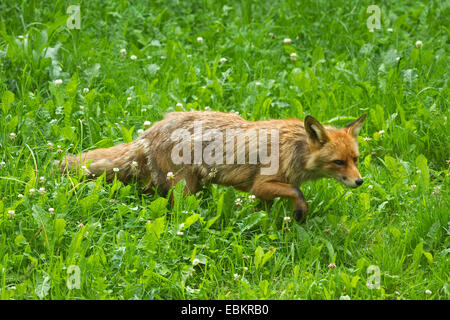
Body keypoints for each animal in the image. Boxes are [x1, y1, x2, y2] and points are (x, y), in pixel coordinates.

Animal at [61, 110, 366, 220]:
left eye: (355, 159)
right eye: (338, 162)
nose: (360, 181)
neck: (295, 150)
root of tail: (151, 130)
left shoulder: (262, 193)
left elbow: (263, 210)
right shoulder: (261, 184)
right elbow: (298, 193)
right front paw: (301, 212)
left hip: (174, 182)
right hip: (184, 187)